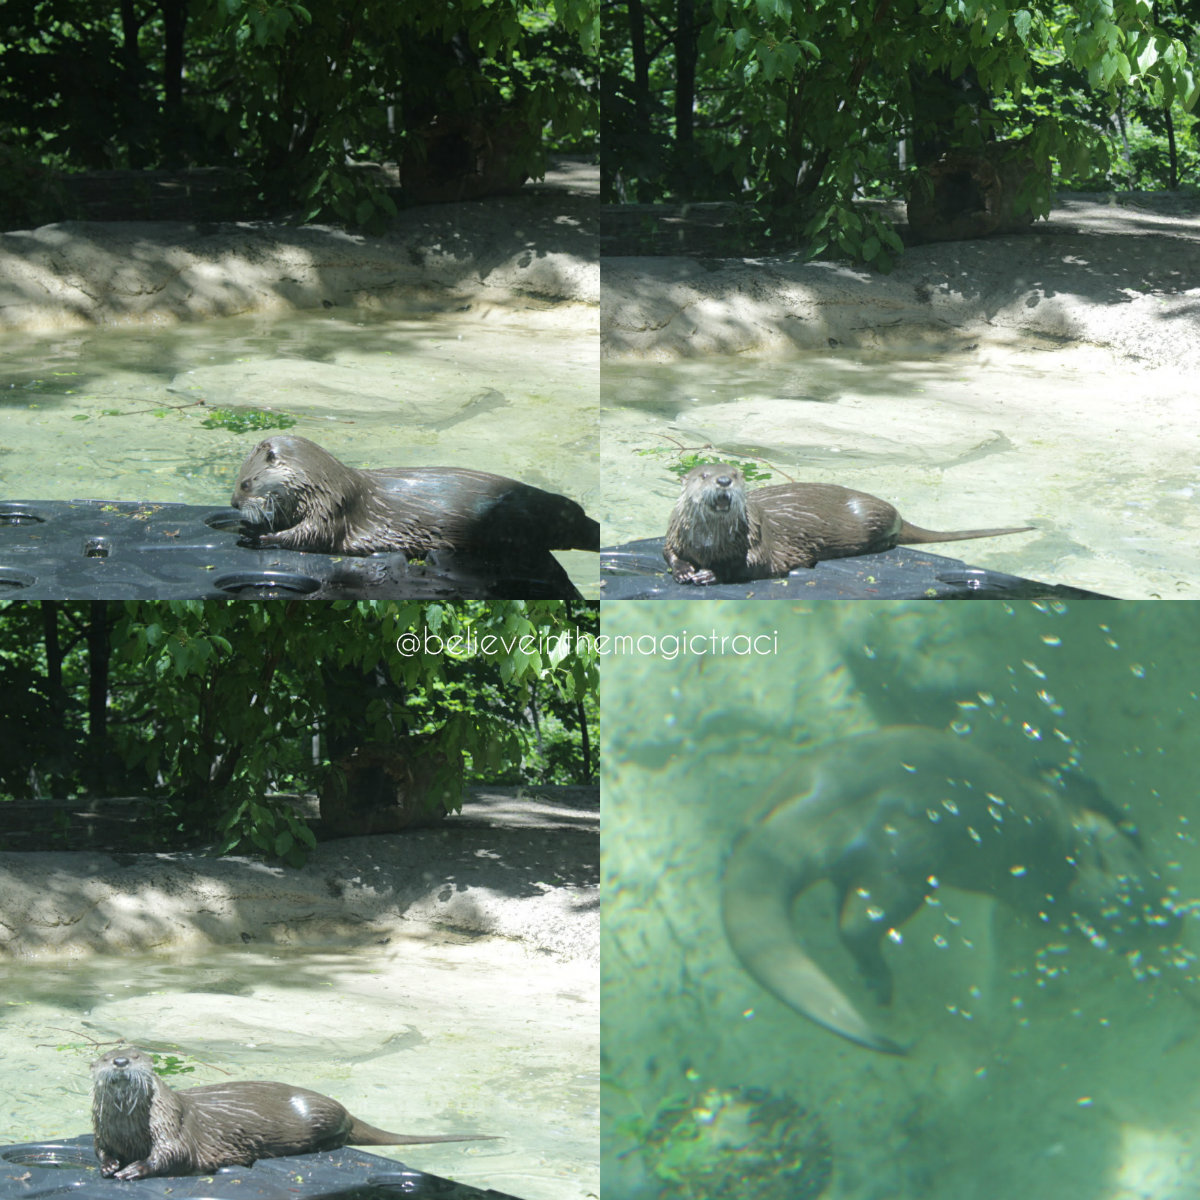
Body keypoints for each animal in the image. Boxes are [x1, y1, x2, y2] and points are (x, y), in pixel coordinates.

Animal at [91, 1047, 494, 1180]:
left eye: (137, 1054)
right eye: (107, 1056)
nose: (122, 1062)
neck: (130, 1131)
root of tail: (346, 1109)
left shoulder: (172, 1126)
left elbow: (172, 1154)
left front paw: (133, 1169)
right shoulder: (102, 1132)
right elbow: (100, 1150)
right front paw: (110, 1165)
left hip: (317, 1115)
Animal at [231, 435, 599, 560]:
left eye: (245, 484)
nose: (233, 504)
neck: (323, 485)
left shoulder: (332, 511)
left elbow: (309, 537)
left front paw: (257, 536)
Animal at [664, 463, 1031, 584]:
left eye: (737, 474)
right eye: (703, 475)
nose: (724, 480)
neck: (710, 544)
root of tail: (897, 513)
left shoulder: (757, 544)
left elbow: (750, 566)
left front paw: (710, 573)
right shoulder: (675, 537)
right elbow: (668, 553)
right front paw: (684, 570)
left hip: (869, 518)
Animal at [722, 727, 1182, 1054]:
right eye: (1150, 912)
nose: (1174, 919)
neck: (1066, 832)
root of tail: (819, 805)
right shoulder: (1053, 884)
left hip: (801, 776)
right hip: (905, 856)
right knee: (857, 922)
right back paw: (880, 981)